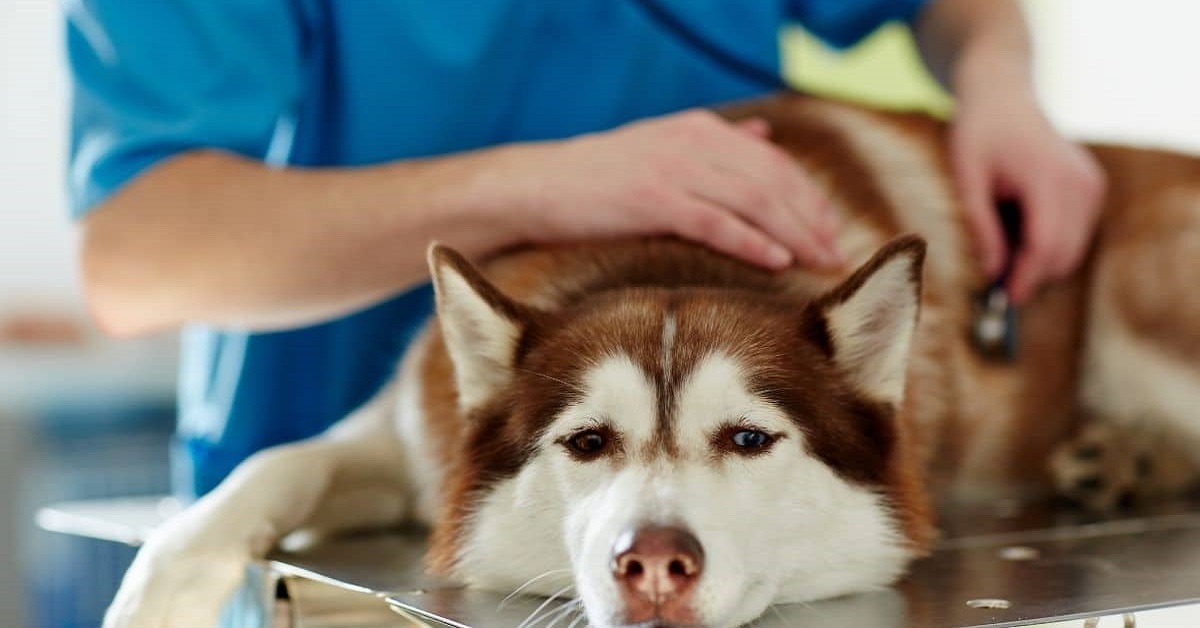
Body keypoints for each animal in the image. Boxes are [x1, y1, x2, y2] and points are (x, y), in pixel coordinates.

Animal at [103, 94, 1200, 628]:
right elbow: (274, 464)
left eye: (750, 439)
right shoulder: (410, 434)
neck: (663, 254)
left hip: (1138, 289)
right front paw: (159, 588)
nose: (656, 564)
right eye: (588, 442)